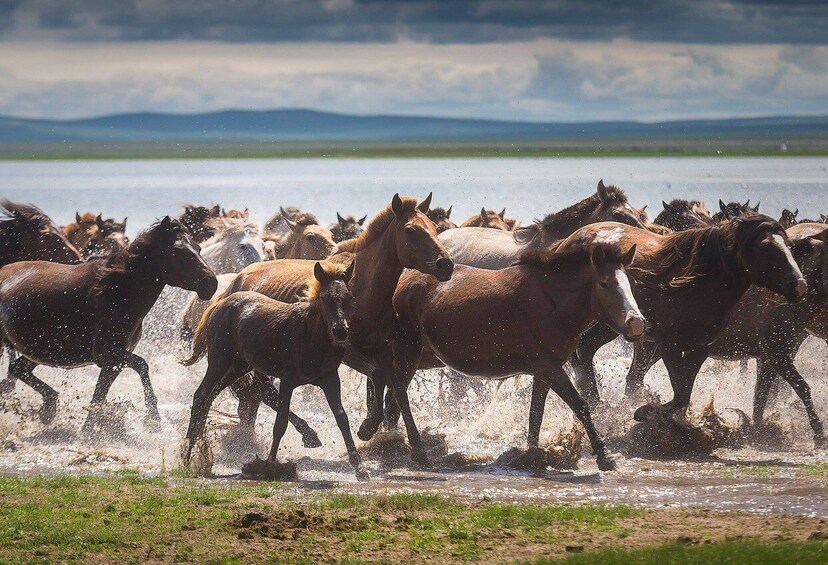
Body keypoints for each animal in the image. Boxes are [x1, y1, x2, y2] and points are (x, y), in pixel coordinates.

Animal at [0, 217, 217, 428]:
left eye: (198, 248)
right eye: (177, 250)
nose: (211, 283)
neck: (117, 291)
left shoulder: (114, 361)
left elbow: (99, 395)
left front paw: (89, 431)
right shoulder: (110, 353)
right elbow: (142, 365)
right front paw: (152, 418)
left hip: (41, 351)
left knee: (17, 368)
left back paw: (48, 407)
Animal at [181, 260, 366, 476]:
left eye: (348, 297)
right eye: (324, 297)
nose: (340, 331)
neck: (310, 337)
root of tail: (218, 304)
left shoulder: (330, 379)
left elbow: (342, 418)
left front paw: (359, 467)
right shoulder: (288, 380)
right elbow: (280, 422)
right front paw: (269, 464)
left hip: (238, 367)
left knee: (210, 396)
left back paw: (199, 447)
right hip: (219, 361)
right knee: (201, 395)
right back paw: (187, 454)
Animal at [568, 214, 808, 416]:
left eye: (789, 246)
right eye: (765, 247)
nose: (799, 286)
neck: (696, 286)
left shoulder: (699, 348)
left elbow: (684, 393)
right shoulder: (670, 346)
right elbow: (680, 393)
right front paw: (646, 411)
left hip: (613, 325)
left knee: (587, 347)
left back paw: (594, 400)